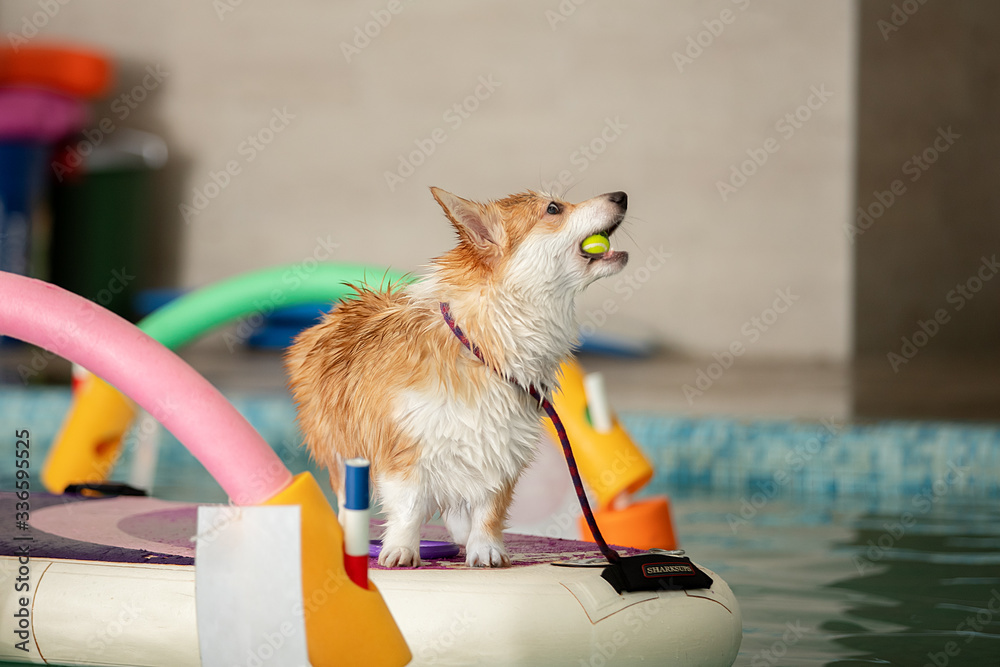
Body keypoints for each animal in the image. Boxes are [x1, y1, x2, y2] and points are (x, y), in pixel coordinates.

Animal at [286, 188, 624, 568]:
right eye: (554, 208)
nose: (621, 196)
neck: (482, 343)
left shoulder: (503, 445)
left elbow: (489, 507)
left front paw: (486, 547)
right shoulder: (404, 445)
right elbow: (407, 505)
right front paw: (401, 549)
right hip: (338, 443)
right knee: (347, 492)